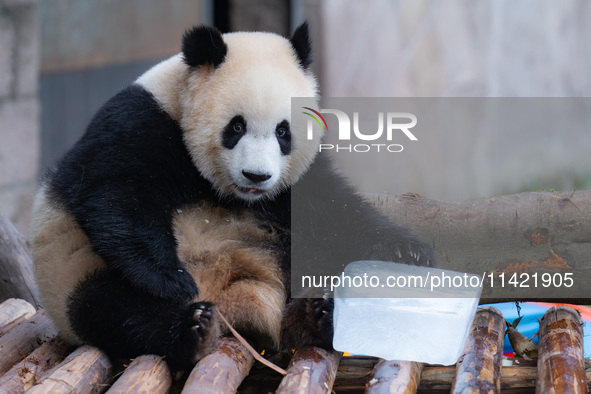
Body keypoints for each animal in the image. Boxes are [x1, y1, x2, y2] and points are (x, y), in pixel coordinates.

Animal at [28, 23, 434, 370]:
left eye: (283, 132)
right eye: (236, 127)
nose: (257, 176)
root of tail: (234, 300)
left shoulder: (292, 186)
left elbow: (334, 210)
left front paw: (407, 250)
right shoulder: (139, 122)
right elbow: (116, 194)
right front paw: (172, 279)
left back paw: (315, 316)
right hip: (74, 278)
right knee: (118, 313)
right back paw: (193, 330)